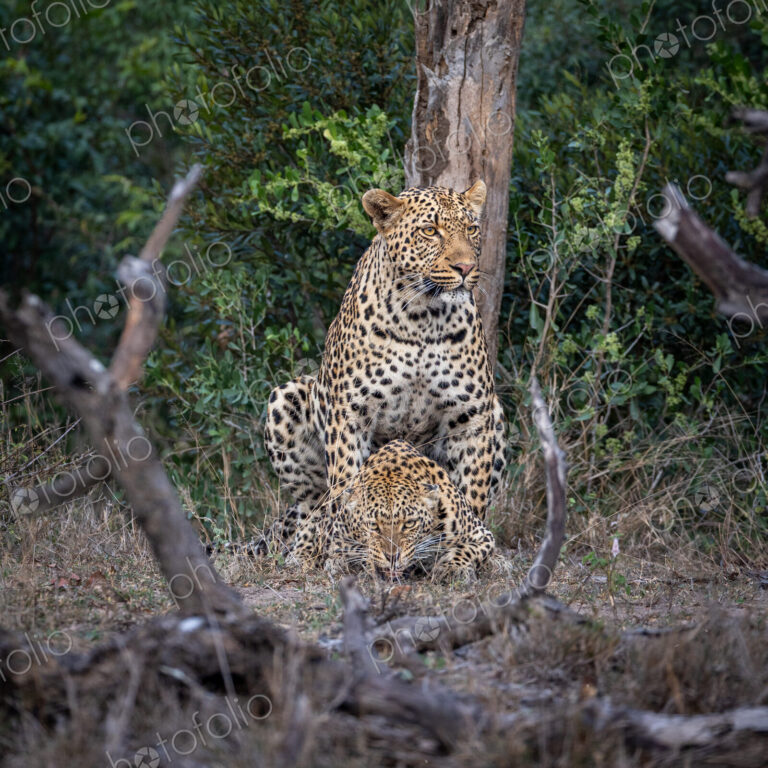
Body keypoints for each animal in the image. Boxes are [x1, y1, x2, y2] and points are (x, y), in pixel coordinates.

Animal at [264, 180, 506, 560]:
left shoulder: (472, 416)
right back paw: (306, 549)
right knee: (312, 507)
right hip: (286, 399)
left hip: (497, 413)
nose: (466, 268)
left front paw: (464, 551)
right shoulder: (350, 413)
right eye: (430, 231)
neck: (423, 317)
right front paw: (352, 553)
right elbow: (347, 487)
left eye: (471, 229)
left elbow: (471, 495)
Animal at [288, 440, 495, 581]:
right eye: (373, 526)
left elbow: (466, 550)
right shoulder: (335, 537)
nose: (392, 557)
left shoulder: (482, 535)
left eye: (410, 524)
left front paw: (452, 568)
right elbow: (353, 550)